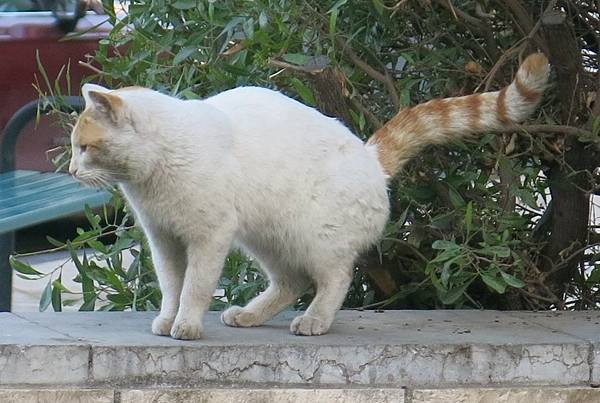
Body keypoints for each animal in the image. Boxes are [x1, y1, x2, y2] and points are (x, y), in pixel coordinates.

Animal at [69, 52, 548, 338]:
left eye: (85, 147)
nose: (71, 170)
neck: (155, 169)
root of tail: (371, 157)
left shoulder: (209, 237)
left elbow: (196, 287)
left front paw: (185, 325)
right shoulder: (165, 240)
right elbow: (172, 286)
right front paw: (168, 320)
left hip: (314, 239)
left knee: (335, 278)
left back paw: (314, 320)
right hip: (268, 237)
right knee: (292, 281)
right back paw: (250, 314)